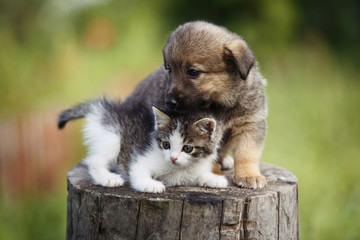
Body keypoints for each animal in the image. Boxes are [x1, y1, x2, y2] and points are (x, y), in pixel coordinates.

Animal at [58, 97, 228, 193]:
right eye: (166, 144)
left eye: (187, 148)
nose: (173, 158)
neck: (180, 168)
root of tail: (105, 110)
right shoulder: (140, 159)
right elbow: (138, 172)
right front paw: (150, 185)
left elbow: (199, 175)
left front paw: (215, 179)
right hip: (112, 137)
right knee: (94, 161)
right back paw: (108, 178)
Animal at [124, 20, 268, 188]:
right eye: (169, 69)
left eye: (193, 72)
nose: (169, 102)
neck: (219, 104)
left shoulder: (249, 124)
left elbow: (247, 153)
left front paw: (249, 175)